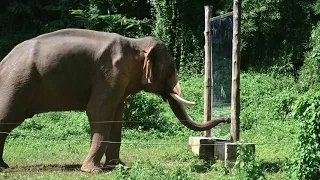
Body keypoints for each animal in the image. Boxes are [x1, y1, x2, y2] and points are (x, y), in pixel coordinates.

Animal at [0, 28, 230, 172]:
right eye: (171, 69)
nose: (228, 119)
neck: (134, 42)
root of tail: (4, 60)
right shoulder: (110, 74)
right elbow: (98, 112)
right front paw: (92, 170)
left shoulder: (118, 82)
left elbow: (116, 117)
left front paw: (118, 166)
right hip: (17, 83)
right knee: (7, 117)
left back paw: (3, 166)